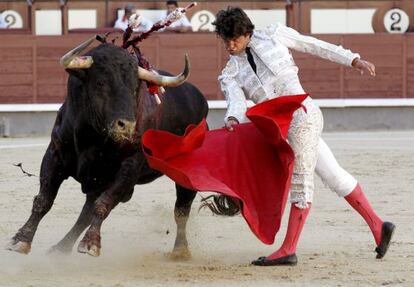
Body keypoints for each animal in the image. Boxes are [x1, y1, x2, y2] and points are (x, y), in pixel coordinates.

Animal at [8, 42, 210, 258]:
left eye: (135, 88)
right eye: (101, 83)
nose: (127, 126)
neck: (91, 136)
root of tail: (200, 100)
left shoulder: (129, 168)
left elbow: (104, 203)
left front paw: (90, 244)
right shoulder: (55, 156)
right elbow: (44, 200)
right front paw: (20, 240)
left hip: (186, 175)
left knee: (181, 210)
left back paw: (180, 251)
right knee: (85, 213)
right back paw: (61, 248)